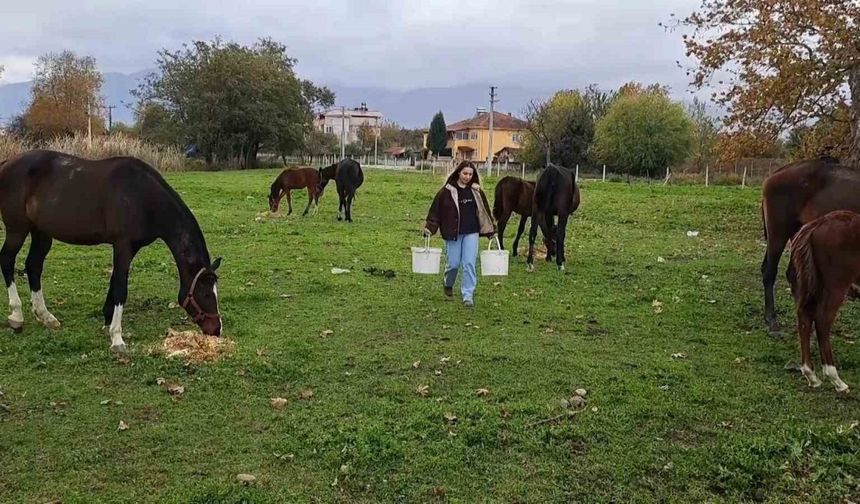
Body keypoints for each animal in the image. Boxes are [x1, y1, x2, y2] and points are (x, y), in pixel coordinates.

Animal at [0, 150, 223, 354]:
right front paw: (117, 338)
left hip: (41, 233)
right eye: (205, 293)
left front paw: (107, 317)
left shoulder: (132, 247)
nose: (216, 329)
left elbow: (115, 280)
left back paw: (45, 316)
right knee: (7, 260)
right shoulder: (122, 244)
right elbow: (121, 288)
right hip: (17, 229)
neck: (143, 196)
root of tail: (7, 163)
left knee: (33, 266)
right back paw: (17, 316)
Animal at [760, 157, 860, 338]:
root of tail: (775, 174)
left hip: (798, 233)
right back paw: (772, 322)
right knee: (769, 272)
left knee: (793, 275)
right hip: (778, 232)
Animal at [788, 210, 860, 394]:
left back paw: (811, 375)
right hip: (836, 284)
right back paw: (836, 379)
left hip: (816, 282)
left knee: (805, 316)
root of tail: (815, 225)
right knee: (822, 320)